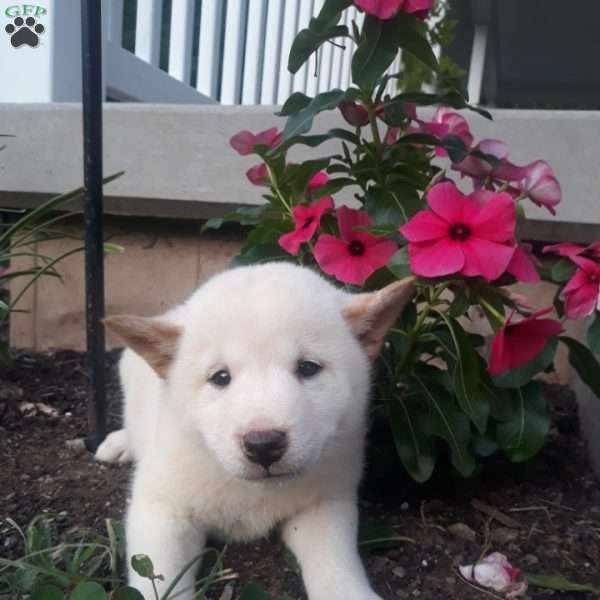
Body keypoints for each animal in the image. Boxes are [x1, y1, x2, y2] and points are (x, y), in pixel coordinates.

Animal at [96, 264, 414, 600]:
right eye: (220, 377)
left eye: (308, 368)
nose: (263, 445)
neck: (252, 491)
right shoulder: (163, 508)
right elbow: (159, 577)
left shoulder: (324, 504)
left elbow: (334, 563)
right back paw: (120, 443)